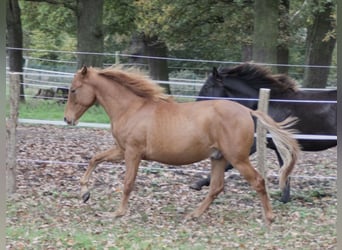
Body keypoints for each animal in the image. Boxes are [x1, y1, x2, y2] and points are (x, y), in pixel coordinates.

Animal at [64, 65, 300, 225]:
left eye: (74, 90)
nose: (67, 120)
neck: (132, 108)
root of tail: (248, 110)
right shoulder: (121, 150)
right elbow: (95, 159)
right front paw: (85, 194)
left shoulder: (132, 152)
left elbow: (128, 183)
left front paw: (116, 213)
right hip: (219, 157)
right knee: (216, 187)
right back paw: (193, 215)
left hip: (237, 158)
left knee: (258, 182)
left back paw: (269, 218)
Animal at [191, 63, 338, 202]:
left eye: (207, 87)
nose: (195, 109)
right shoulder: (280, 146)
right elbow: (284, 170)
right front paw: (284, 199)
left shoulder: (254, 142)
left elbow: (229, 164)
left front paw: (197, 184)